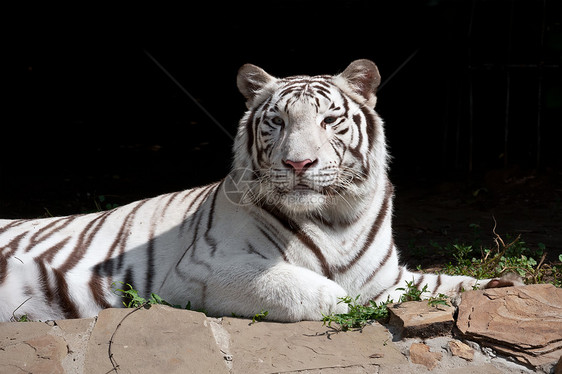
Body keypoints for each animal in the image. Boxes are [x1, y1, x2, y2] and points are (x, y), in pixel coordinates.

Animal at [0, 59, 516, 322]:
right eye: (277, 121)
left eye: (329, 120)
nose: (298, 162)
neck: (338, 217)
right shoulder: (201, 271)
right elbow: (322, 292)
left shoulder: (387, 273)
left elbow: (438, 282)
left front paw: (501, 285)